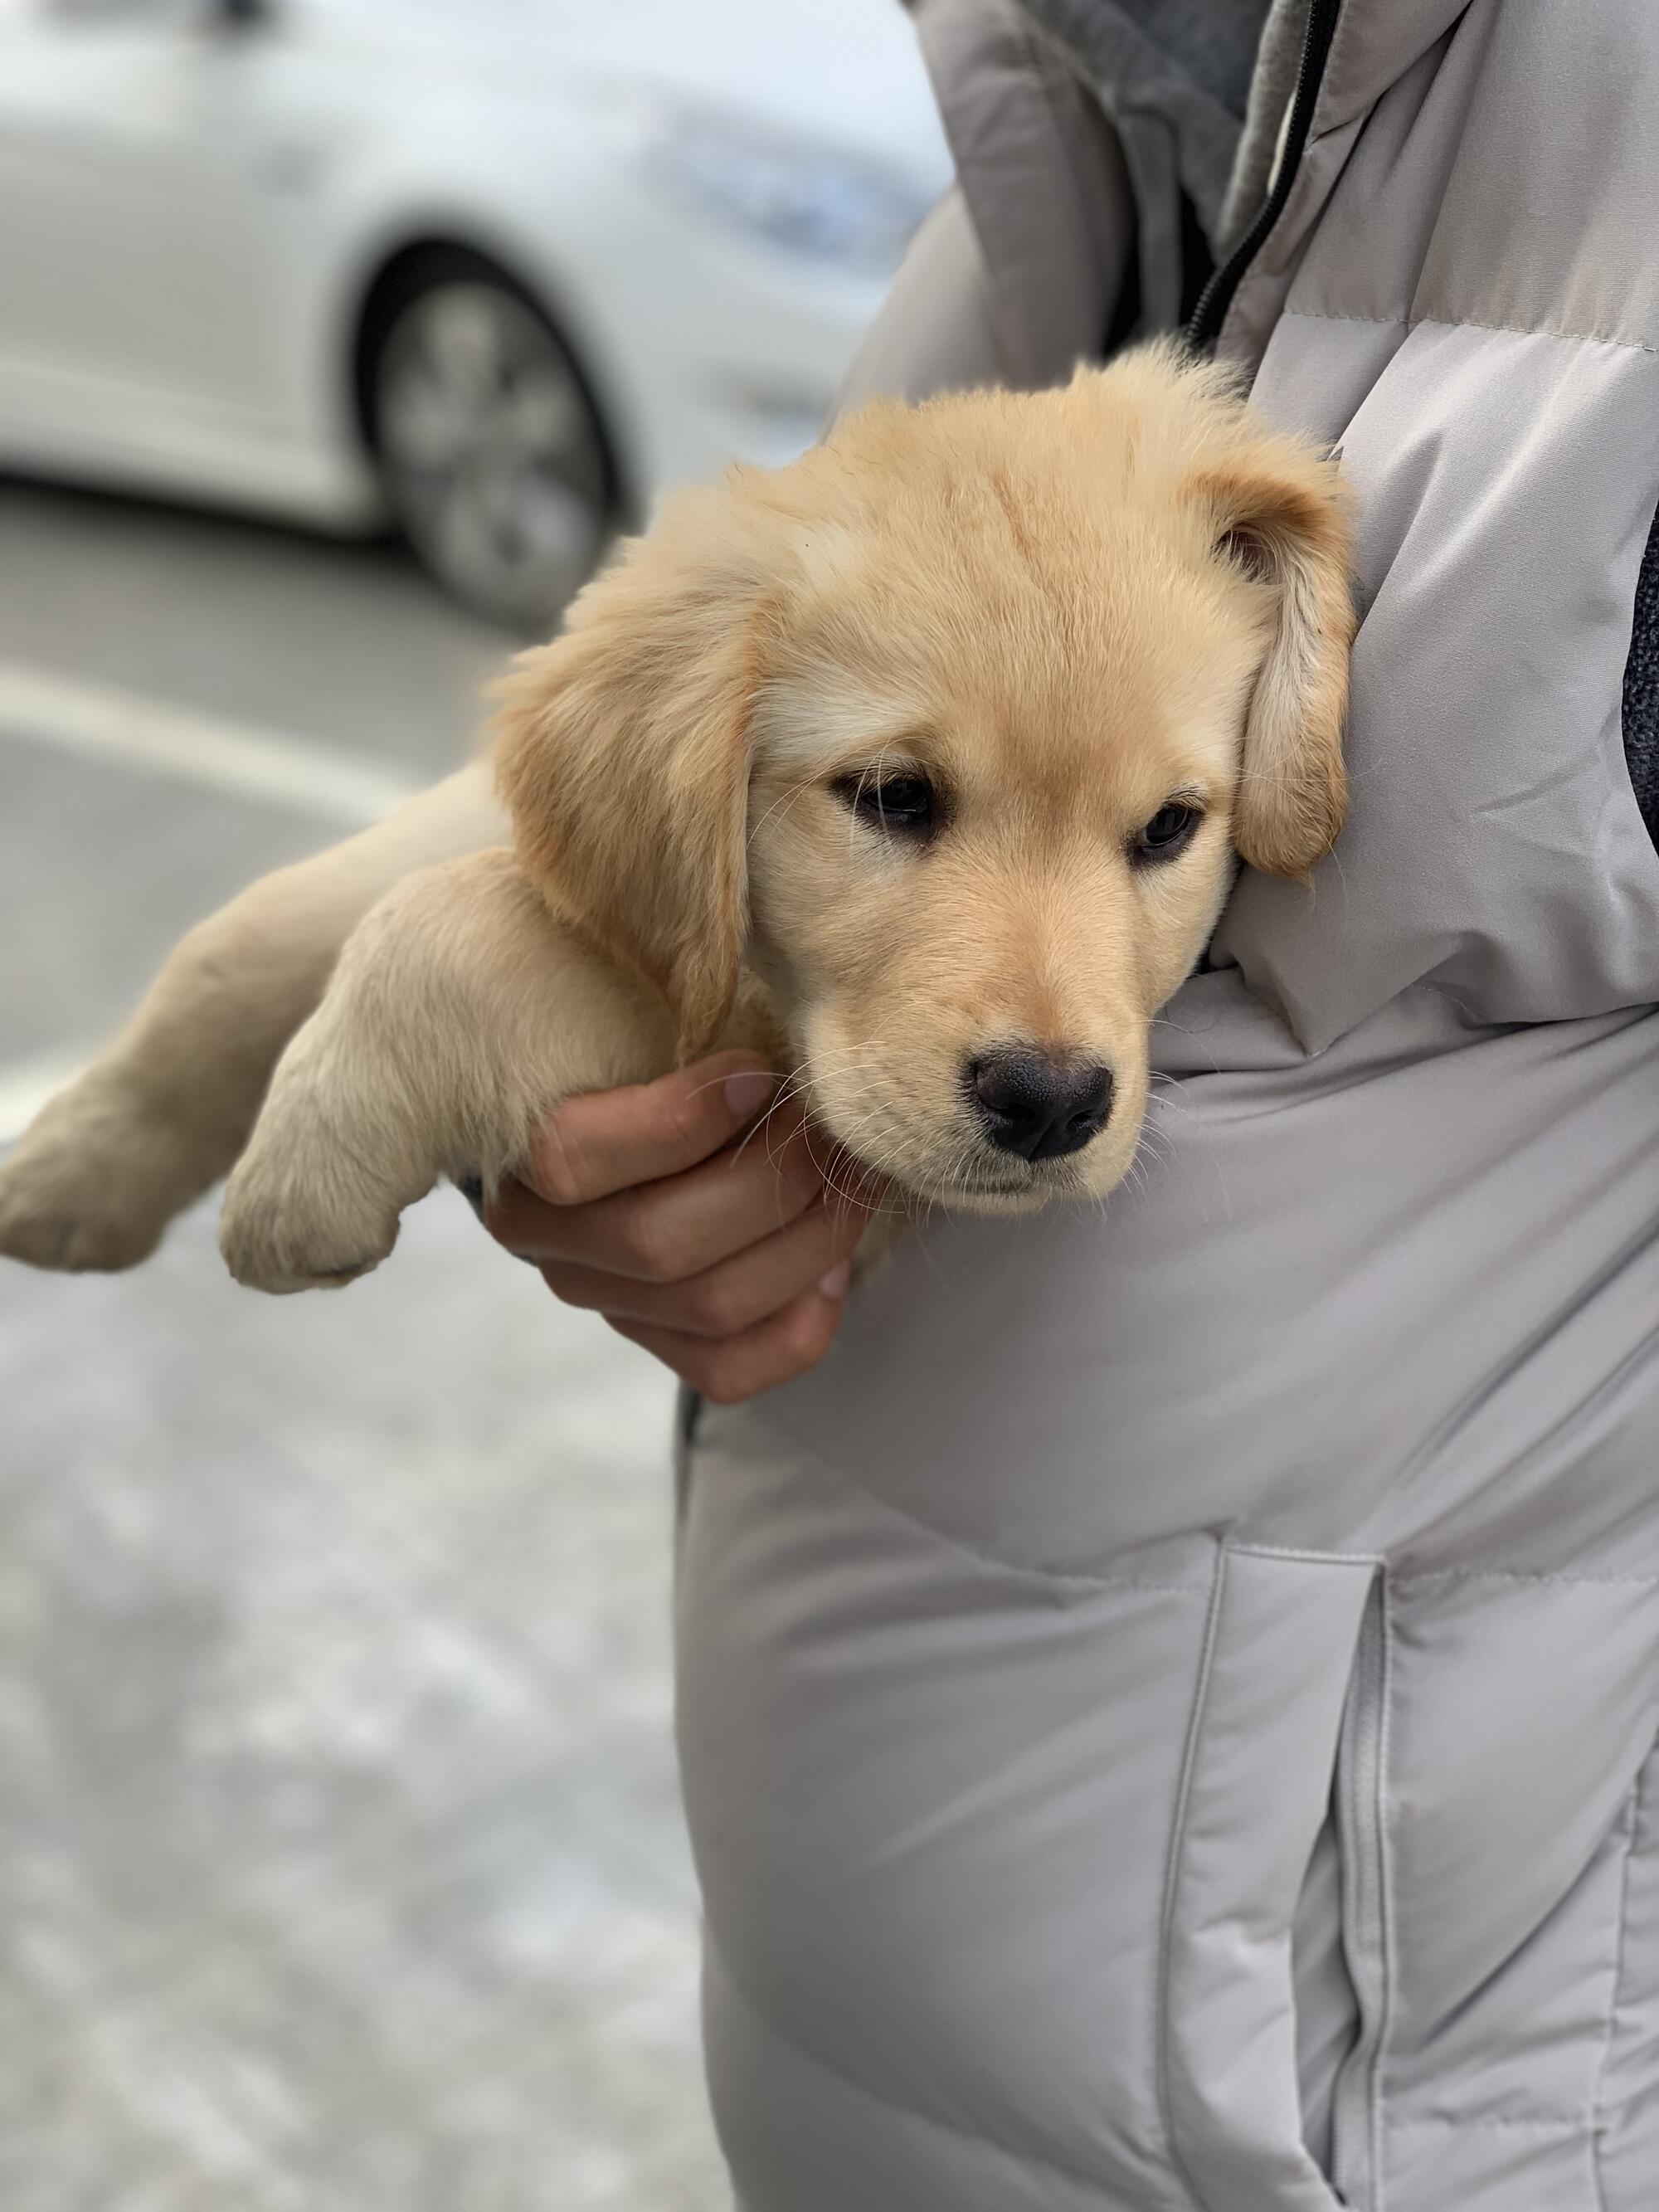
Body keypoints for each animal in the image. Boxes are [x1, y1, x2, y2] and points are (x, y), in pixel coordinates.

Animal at [0, 346, 1353, 1295]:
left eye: (1169, 828)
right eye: (893, 796)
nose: (1051, 1103)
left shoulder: (742, 1051)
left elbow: (446, 924)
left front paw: (306, 1165)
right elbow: (258, 927)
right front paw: (76, 1166)